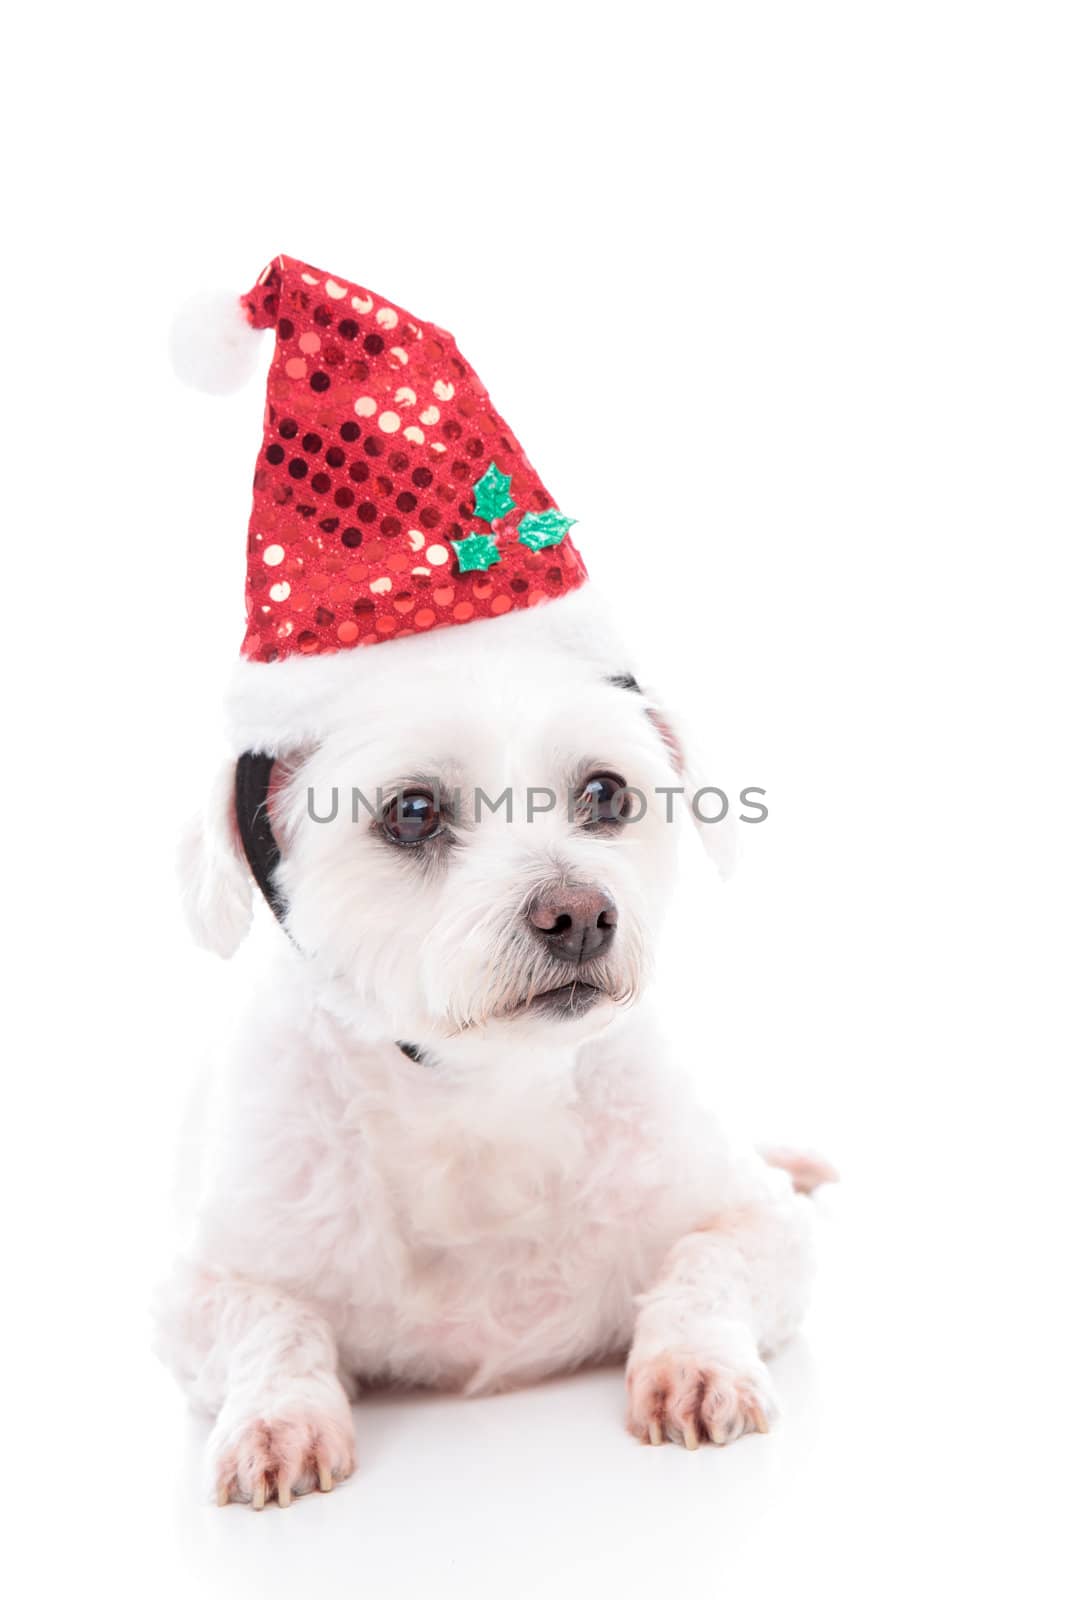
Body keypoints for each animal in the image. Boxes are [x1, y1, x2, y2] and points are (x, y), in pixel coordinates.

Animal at [154, 582, 831, 1504]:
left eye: (607, 793)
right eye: (412, 812)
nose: (578, 914)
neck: (481, 1092)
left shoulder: (757, 1222)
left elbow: (704, 1264)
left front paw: (693, 1362)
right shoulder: (206, 1284)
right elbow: (272, 1323)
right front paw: (276, 1417)